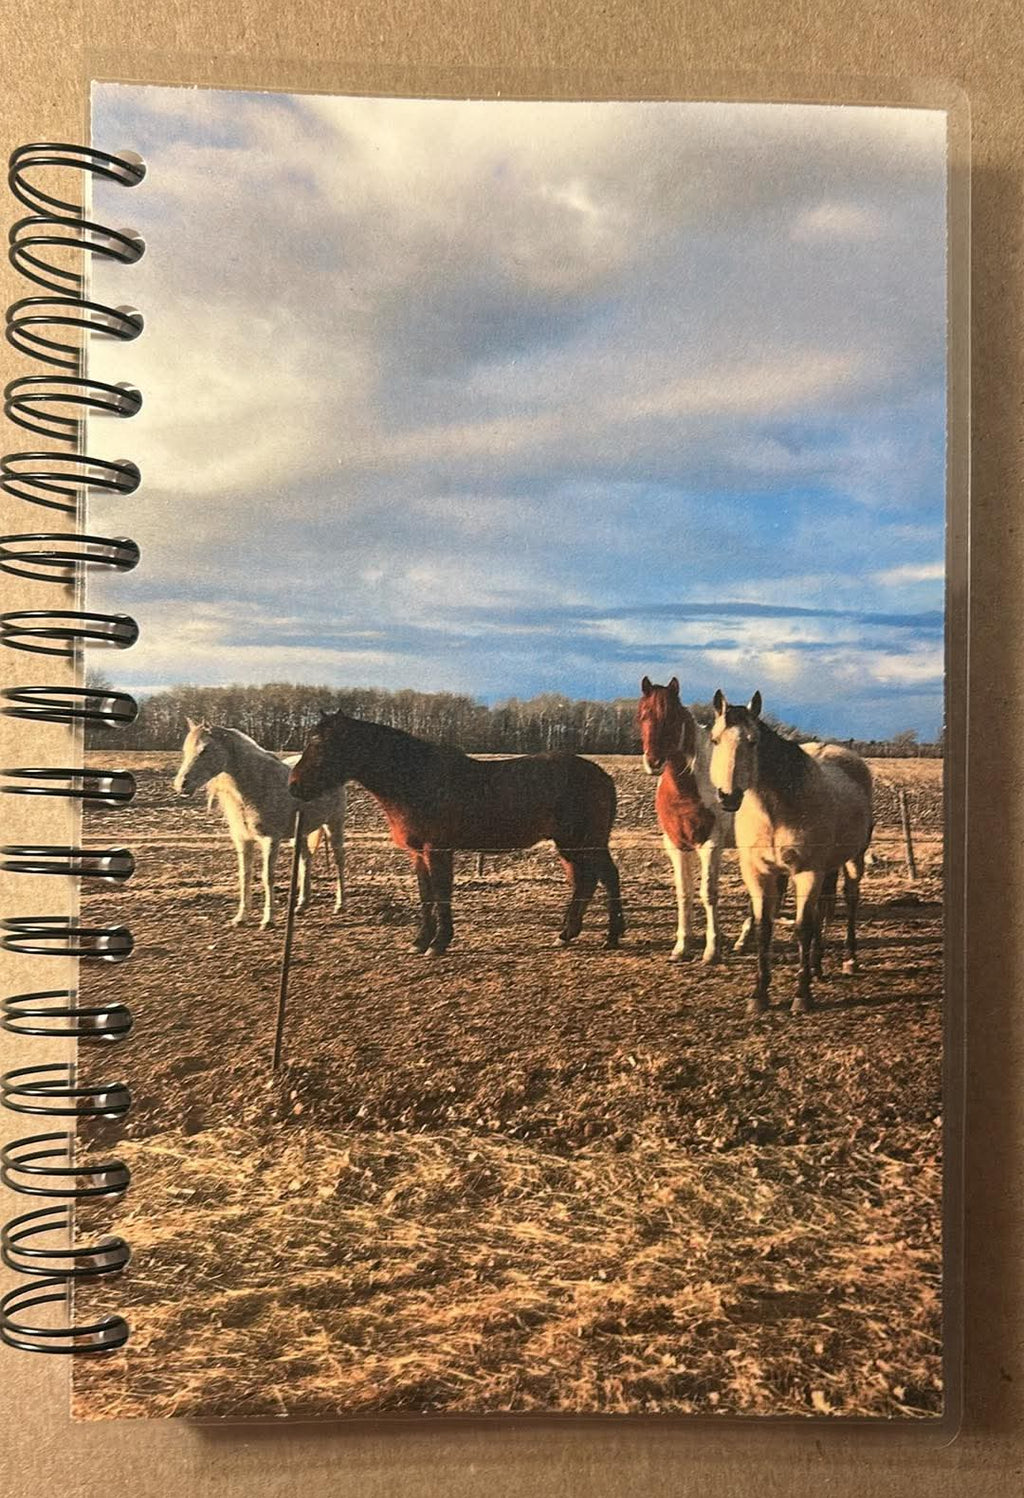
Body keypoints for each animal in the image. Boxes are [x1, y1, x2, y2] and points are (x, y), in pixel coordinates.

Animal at [173, 721, 346, 929]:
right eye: (185, 750)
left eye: (205, 749)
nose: (181, 785)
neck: (256, 786)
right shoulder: (243, 841)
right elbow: (245, 876)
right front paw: (240, 918)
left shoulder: (270, 840)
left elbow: (267, 877)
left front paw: (268, 920)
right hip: (300, 833)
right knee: (306, 860)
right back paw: (301, 905)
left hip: (334, 824)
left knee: (339, 860)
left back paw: (340, 905)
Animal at [288, 710, 625, 956]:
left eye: (321, 745)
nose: (294, 787)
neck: (415, 779)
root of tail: (602, 776)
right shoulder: (418, 854)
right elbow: (426, 895)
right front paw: (420, 941)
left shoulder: (437, 850)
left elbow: (441, 894)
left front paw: (439, 943)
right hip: (570, 846)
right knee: (585, 882)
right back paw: (567, 934)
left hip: (586, 843)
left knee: (607, 878)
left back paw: (611, 936)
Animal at [708, 690, 873, 1015]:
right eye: (715, 740)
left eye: (753, 741)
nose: (728, 796)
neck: (777, 811)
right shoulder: (758, 873)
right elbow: (764, 928)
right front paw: (759, 995)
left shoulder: (807, 873)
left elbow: (802, 928)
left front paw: (802, 995)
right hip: (828, 867)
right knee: (825, 905)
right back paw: (818, 966)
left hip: (853, 859)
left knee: (850, 900)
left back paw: (849, 959)